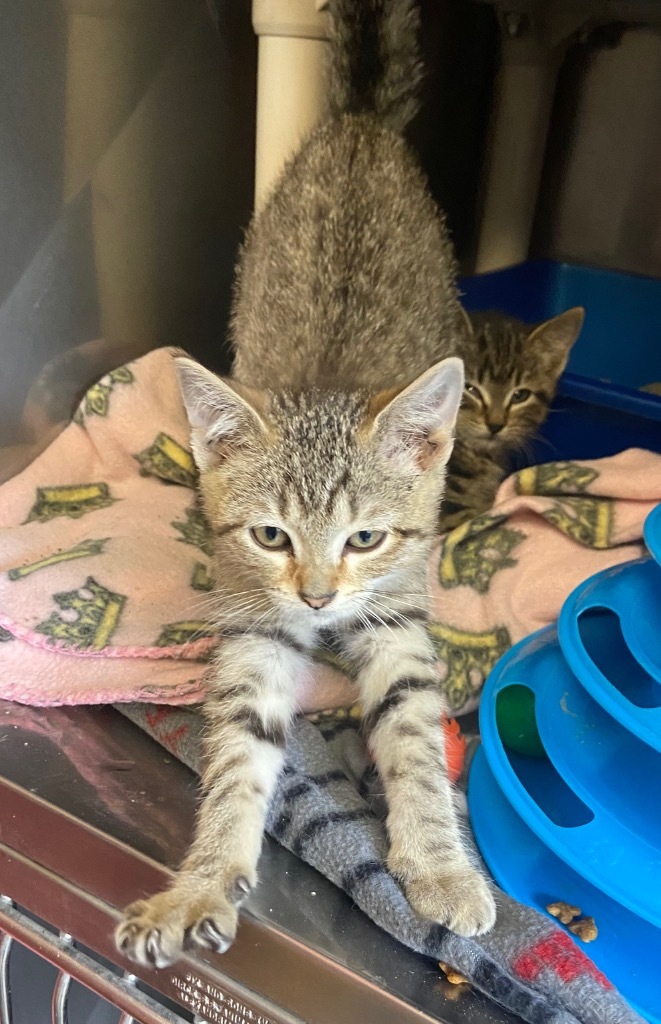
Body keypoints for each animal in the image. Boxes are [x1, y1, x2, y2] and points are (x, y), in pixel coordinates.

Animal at [117, 0, 497, 966]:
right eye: (270, 536)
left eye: (366, 536)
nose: (320, 598)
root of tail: (358, 124)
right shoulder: (254, 626)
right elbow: (241, 749)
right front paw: (203, 881)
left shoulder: (398, 620)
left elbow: (410, 735)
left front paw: (440, 866)